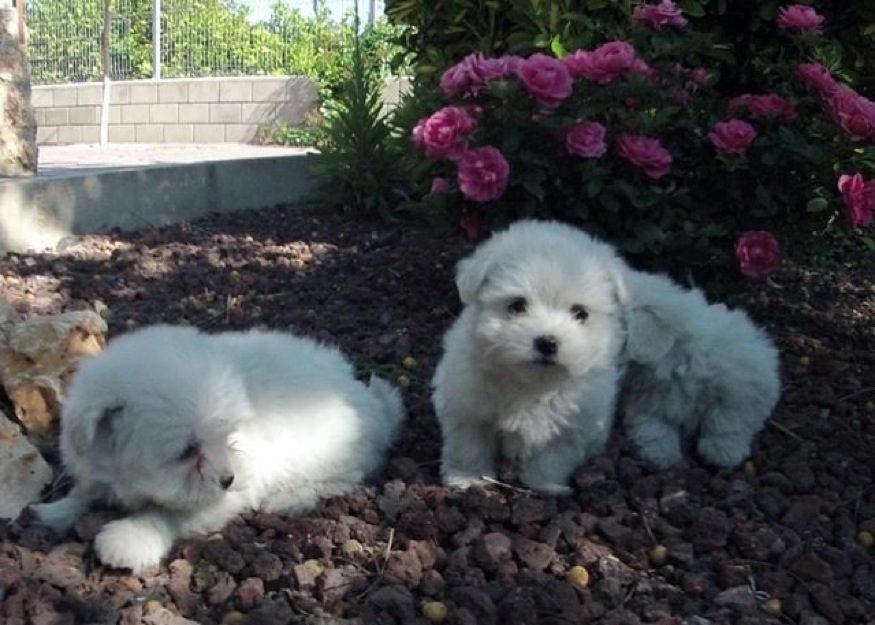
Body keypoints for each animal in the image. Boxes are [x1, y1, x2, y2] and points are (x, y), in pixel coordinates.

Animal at [30, 324, 408, 572]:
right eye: (187, 451)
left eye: (227, 437)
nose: (228, 478)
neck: (127, 478)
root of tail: (367, 398)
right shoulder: (97, 469)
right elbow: (84, 492)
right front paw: (55, 510)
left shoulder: (228, 492)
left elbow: (166, 513)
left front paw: (129, 539)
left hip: (328, 453)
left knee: (340, 478)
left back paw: (288, 499)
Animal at [432, 218, 628, 492]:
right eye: (517, 306)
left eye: (580, 313)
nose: (547, 342)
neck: (531, 382)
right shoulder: (467, 407)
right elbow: (469, 445)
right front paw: (467, 479)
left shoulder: (572, 426)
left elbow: (553, 457)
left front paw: (544, 485)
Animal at [620, 270, 784, 468]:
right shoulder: (647, 401)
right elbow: (654, 424)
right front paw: (660, 453)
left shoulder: (738, 391)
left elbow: (726, 419)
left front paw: (722, 452)